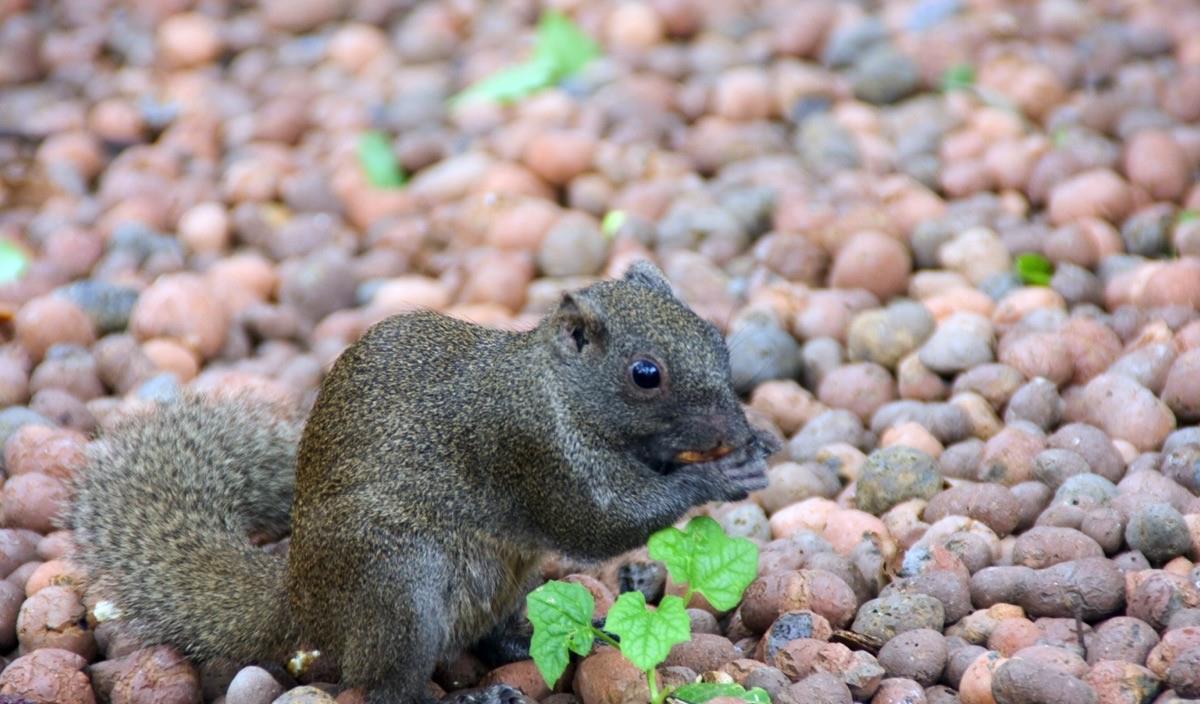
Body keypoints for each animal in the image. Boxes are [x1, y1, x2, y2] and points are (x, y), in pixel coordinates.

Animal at [65, 262, 777, 704]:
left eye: (716, 338)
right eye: (645, 374)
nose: (732, 426)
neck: (554, 388)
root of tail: (302, 603)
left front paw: (756, 444)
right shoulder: (533, 451)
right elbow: (601, 522)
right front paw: (717, 473)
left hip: (498, 577)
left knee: (497, 633)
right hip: (398, 588)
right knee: (387, 689)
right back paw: (477, 695)